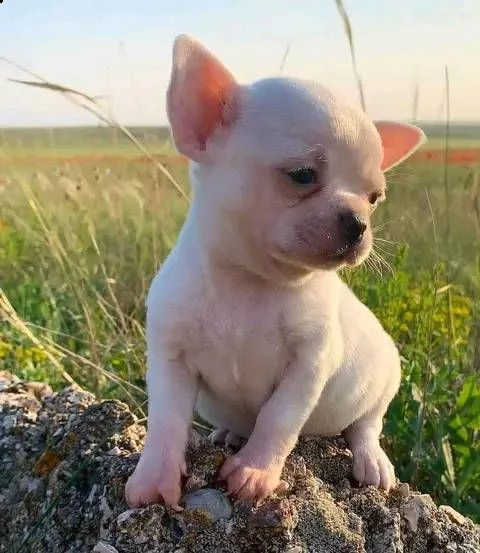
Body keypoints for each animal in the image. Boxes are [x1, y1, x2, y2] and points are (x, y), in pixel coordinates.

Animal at [125, 35, 426, 508]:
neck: (250, 281)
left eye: (374, 197)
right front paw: (154, 478)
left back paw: (371, 461)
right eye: (301, 175)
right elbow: (167, 423)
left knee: (365, 426)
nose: (359, 222)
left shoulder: (309, 366)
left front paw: (254, 472)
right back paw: (228, 432)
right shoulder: (170, 360)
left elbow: (277, 419)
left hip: (383, 380)